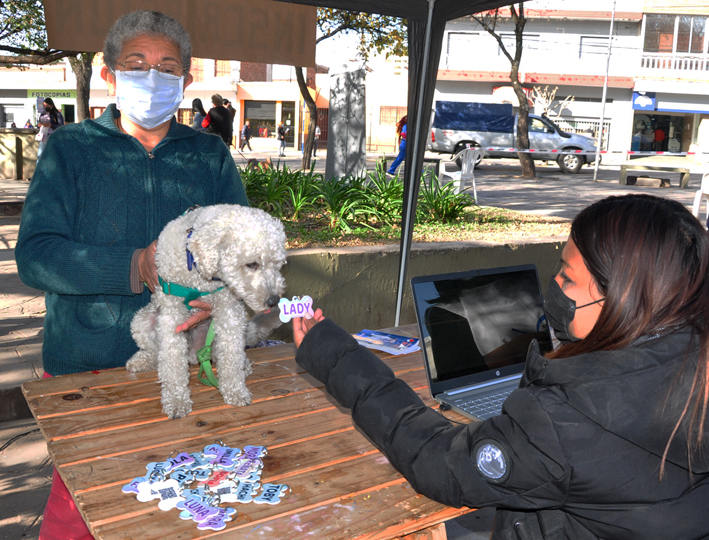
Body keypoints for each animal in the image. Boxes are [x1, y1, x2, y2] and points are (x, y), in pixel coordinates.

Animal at [126, 205, 286, 420]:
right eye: (252, 264)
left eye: (277, 265)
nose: (274, 300)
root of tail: (195, 356)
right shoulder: (171, 314)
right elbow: (172, 360)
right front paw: (176, 400)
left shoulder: (230, 312)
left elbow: (231, 355)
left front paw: (235, 390)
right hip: (142, 321)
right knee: (157, 352)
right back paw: (143, 361)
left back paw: (243, 366)